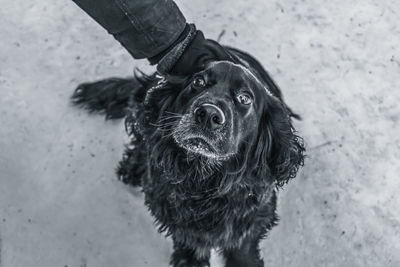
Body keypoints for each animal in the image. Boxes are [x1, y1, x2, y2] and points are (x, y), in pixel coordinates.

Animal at [72, 47, 304, 266]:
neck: (203, 179)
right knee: (143, 143)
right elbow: (189, 238)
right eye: (198, 81)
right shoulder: (173, 212)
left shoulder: (253, 216)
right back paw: (132, 168)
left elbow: (242, 244)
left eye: (244, 98)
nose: (208, 114)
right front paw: (190, 259)